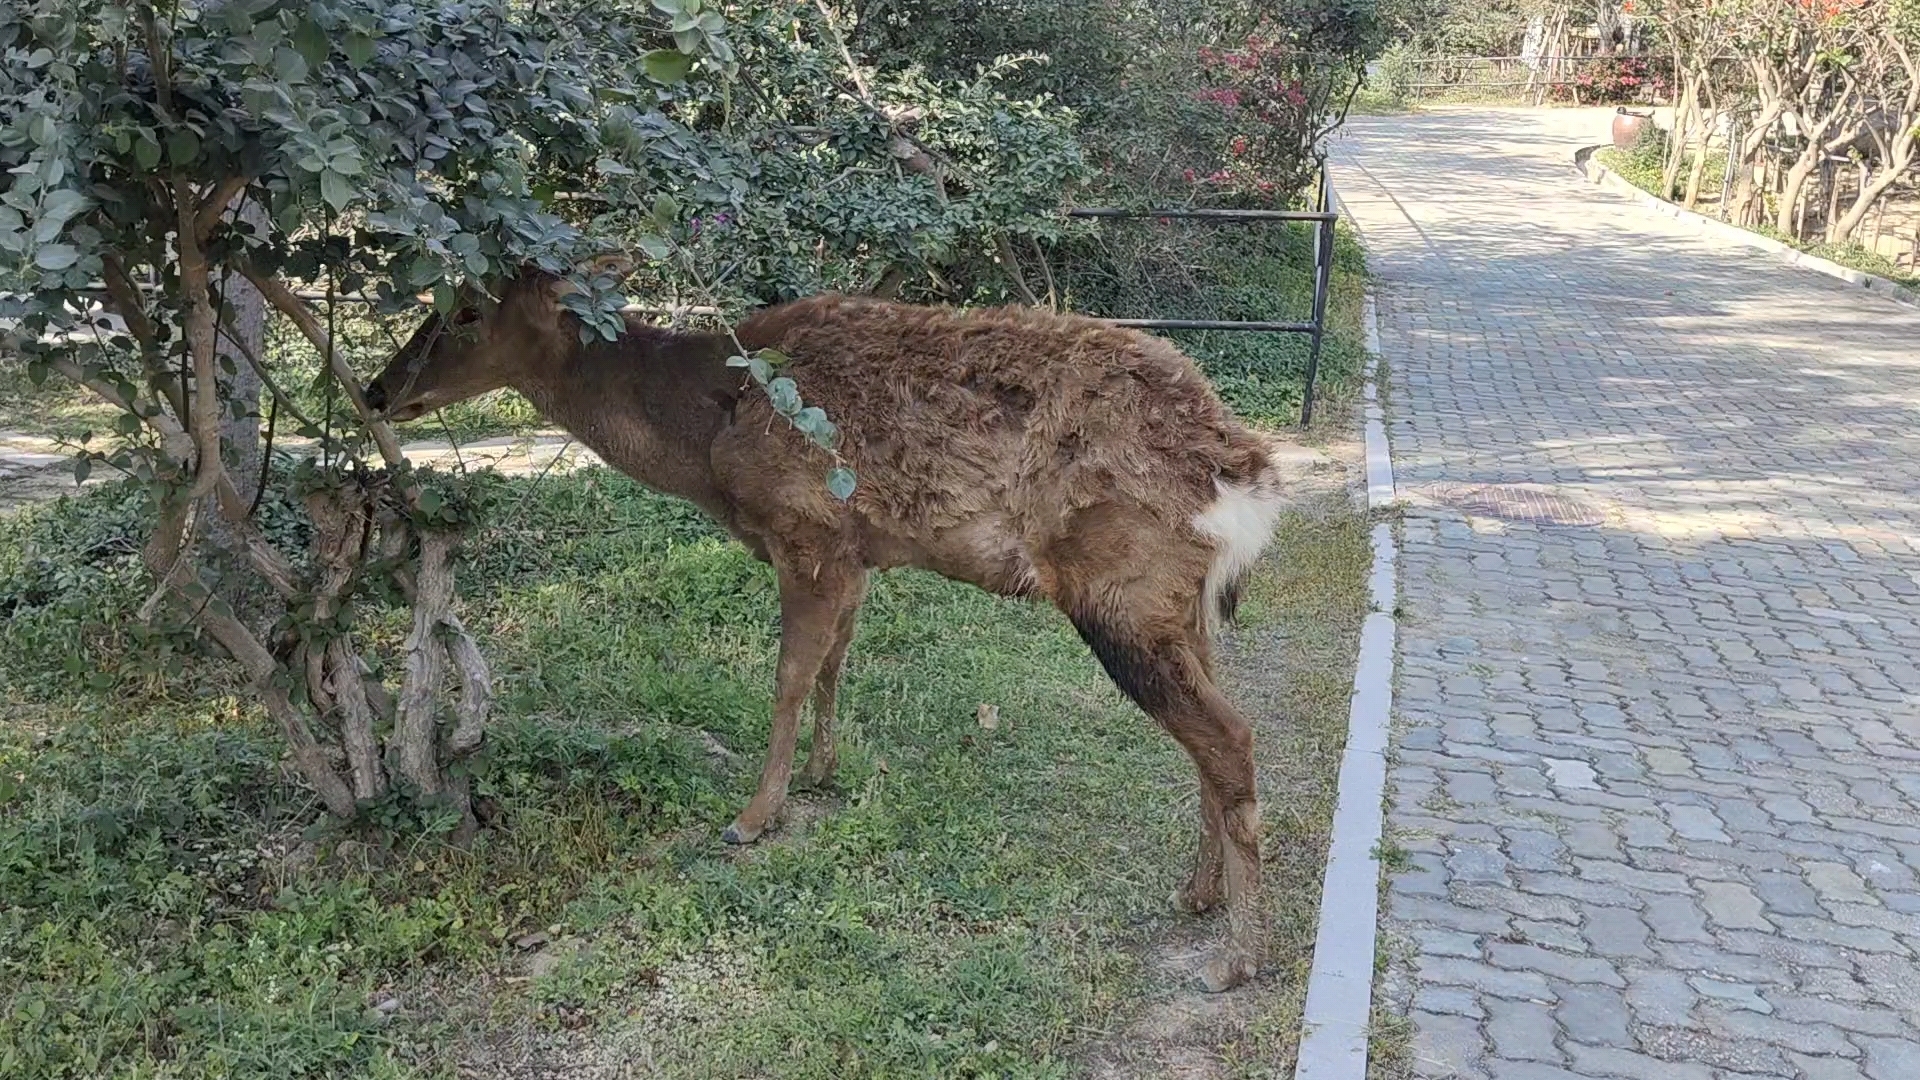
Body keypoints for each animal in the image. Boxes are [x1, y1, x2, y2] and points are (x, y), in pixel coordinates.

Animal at [362, 259, 1290, 983]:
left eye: (466, 312)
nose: (378, 389)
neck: (703, 435)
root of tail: (1244, 474)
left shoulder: (805, 530)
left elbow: (785, 676)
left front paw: (752, 815)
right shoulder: (857, 552)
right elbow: (835, 662)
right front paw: (820, 771)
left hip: (1120, 588)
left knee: (1228, 736)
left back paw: (1236, 958)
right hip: (1180, 606)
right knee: (1213, 736)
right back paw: (1198, 893)